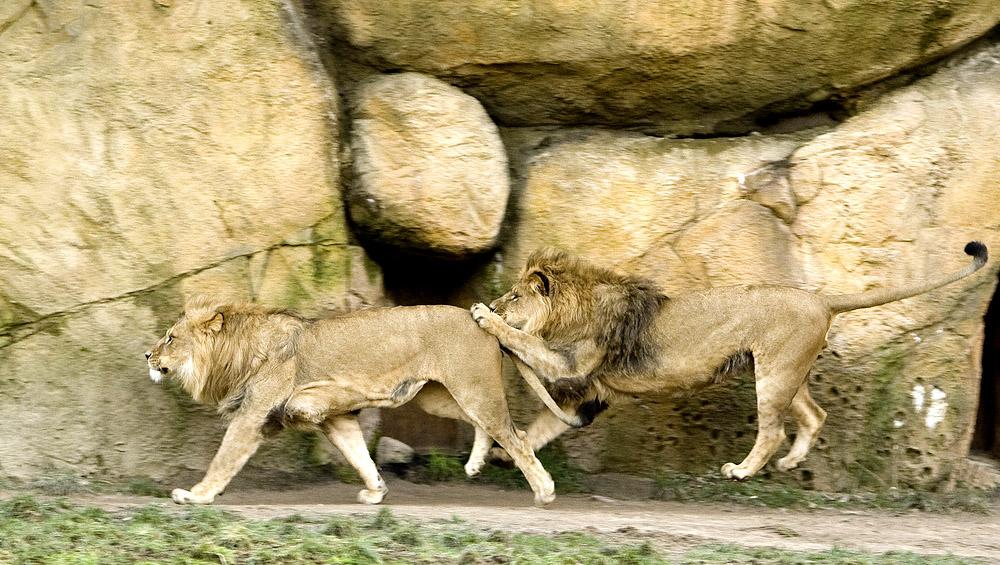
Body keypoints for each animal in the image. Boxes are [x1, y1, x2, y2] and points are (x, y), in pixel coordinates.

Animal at [147, 298, 572, 504]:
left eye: (170, 337)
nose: (147, 355)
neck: (238, 351)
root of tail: (485, 319)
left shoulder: (253, 413)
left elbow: (224, 459)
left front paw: (195, 495)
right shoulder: (335, 418)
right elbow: (358, 456)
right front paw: (376, 491)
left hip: (473, 387)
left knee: (514, 437)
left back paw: (544, 491)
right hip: (441, 396)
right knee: (494, 428)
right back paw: (475, 463)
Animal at [472, 240, 988, 478]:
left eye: (514, 296)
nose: (495, 302)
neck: (573, 309)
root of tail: (821, 300)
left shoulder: (571, 365)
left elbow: (526, 347)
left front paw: (484, 316)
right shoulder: (586, 393)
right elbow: (541, 427)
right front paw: (503, 453)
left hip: (774, 374)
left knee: (774, 429)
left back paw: (741, 471)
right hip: (787, 371)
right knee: (815, 415)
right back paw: (790, 464)